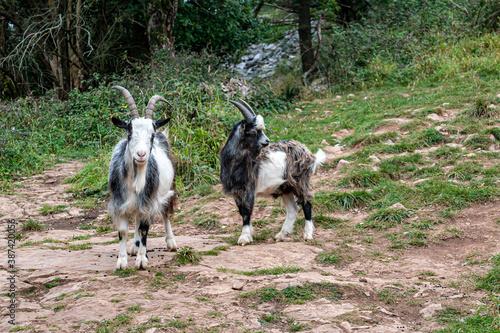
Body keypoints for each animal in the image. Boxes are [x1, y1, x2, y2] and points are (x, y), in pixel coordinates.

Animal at [108, 85, 177, 270]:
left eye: (151, 135)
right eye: (129, 132)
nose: (141, 154)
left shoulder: (149, 200)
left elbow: (145, 228)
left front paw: (141, 261)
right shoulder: (119, 202)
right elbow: (123, 230)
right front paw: (122, 261)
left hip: (166, 190)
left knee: (165, 213)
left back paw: (171, 242)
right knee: (138, 219)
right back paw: (134, 245)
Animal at [221, 98, 326, 244]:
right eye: (252, 132)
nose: (267, 141)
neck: (235, 164)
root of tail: (309, 154)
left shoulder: (249, 188)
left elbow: (246, 211)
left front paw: (244, 237)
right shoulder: (236, 192)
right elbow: (241, 212)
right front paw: (248, 234)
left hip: (300, 181)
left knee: (306, 204)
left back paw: (307, 235)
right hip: (286, 187)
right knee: (293, 209)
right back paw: (281, 235)